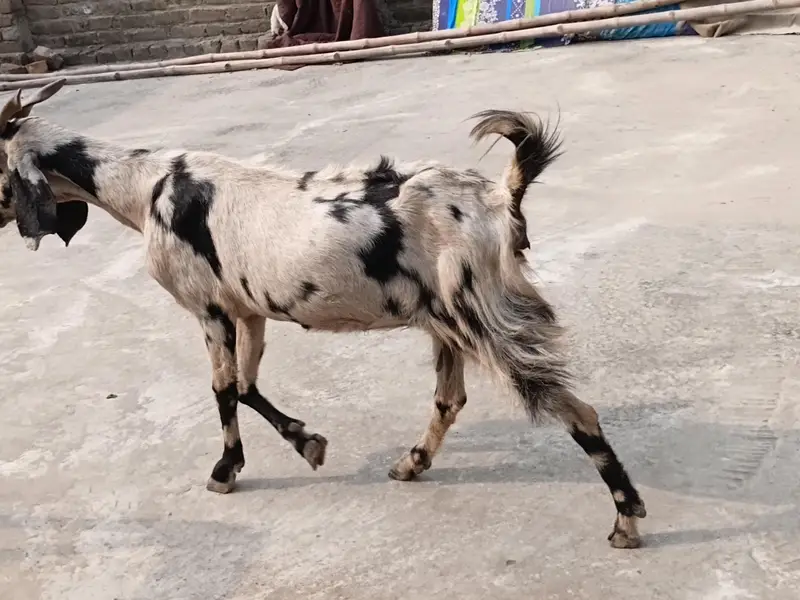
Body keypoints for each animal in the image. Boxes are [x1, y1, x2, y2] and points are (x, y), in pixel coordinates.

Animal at [0, 79, 647, 548]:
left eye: (0, 172)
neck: (146, 187)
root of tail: (499, 195)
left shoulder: (207, 307)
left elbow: (222, 390)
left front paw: (225, 470)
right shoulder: (250, 308)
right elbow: (248, 386)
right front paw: (307, 443)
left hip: (484, 313)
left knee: (576, 410)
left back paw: (627, 518)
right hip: (447, 319)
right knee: (450, 398)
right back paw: (410, 464)